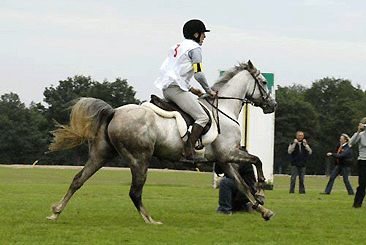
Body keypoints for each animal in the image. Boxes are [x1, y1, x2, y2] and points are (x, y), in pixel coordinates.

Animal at [47, 60, 278, 224]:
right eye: (264, 83)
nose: (273, 105)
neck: (224, 109)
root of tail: (114, 112)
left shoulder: (224, 160)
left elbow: (242, 185)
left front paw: (264, 210)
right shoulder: (229, 153)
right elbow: (257, 161)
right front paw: (261, 190)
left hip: (102, 154)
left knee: (78, 179)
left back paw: (56, 212)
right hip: (140, 158)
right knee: (135, 192)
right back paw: (150, 220)